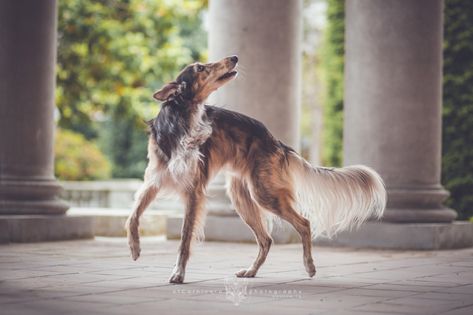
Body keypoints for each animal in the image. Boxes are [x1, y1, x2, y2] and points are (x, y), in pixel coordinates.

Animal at [125, 55, 388, 286]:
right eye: (200, 68)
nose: (234, 57)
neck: (180, 122)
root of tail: (274, 139)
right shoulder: (154, 181)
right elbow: (132, 216)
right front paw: (135, 249)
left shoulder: (194, 192)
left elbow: (184, 238)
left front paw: (178, 273)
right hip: (243, 197)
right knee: (266, 239)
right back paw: (251, 271)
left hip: (264, 194)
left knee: (303, 224)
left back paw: (309, 266)